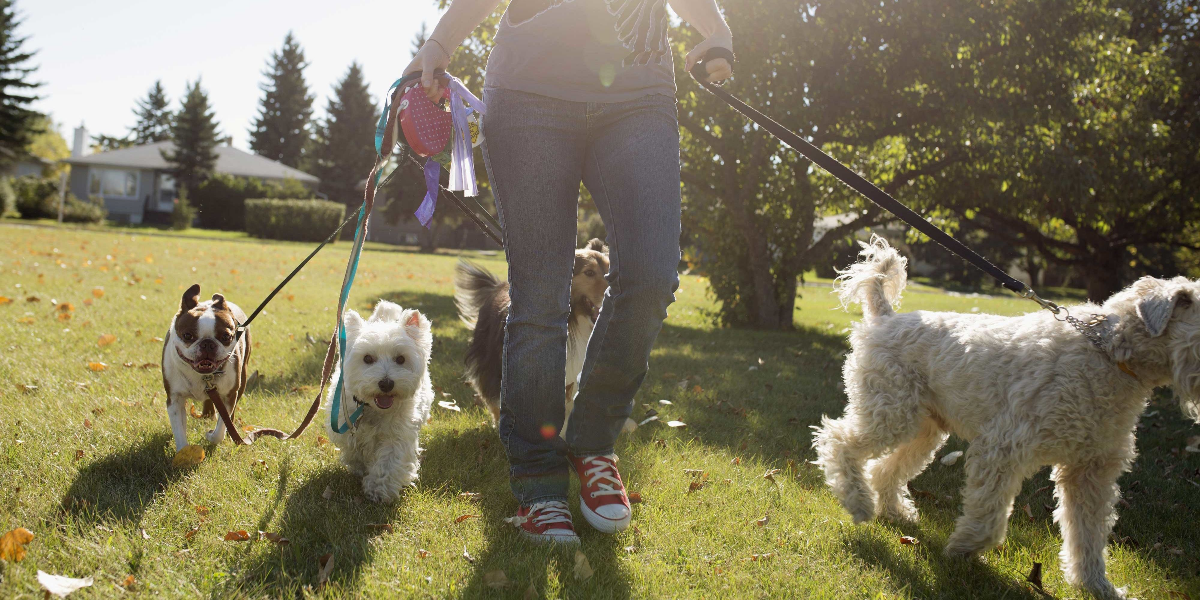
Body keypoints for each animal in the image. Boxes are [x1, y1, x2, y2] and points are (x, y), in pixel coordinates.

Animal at [162, 284, 250, 451]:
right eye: (187, 335)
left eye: (226, 337)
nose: (208, 343)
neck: (203, 375)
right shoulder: (175, 399)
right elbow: (179, 430)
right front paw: (183, 453)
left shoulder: (229, 396)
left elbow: (221, 426)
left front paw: (211, 435)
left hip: (242, 378)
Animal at [324, 300, 436, 501]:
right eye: (367, 358)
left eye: (401, 359)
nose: (386, 383)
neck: (373, 409)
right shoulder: (346, 426)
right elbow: (354, 450)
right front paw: (360, 468)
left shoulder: (398, 435)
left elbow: (389, 461)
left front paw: (378, 489)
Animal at [811, 236, 1200, 597]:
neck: (1108, 353)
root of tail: (885, 316)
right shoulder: (1003, 447)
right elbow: (989, 515)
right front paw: (963, 550)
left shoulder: (1090, 471)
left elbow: (1087, 536)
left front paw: (1096, 586)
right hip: (890, 414)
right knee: (836, 440)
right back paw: (859, 504)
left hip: (924, 429)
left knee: (884, 469)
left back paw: (894, 511)